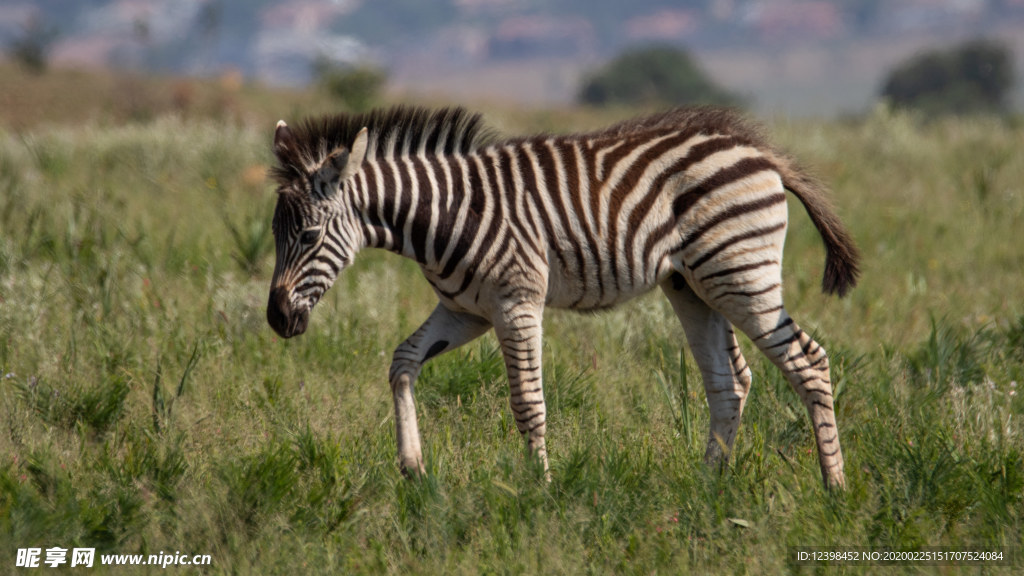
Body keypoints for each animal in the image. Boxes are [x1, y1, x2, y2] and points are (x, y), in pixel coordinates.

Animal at [262, 104, 856, 483]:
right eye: (273, 234)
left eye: (309, 236)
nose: (276, 320)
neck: (442, 214)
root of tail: (760, 151)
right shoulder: (464, 311)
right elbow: (402, 361)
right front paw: (412, 466)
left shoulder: (515, 302)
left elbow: (528, 401)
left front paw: (540, 490)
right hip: (692, 285)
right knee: (729, 383)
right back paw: (708, 487)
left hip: (740, 273)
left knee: (809, 362)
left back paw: (833, 487)